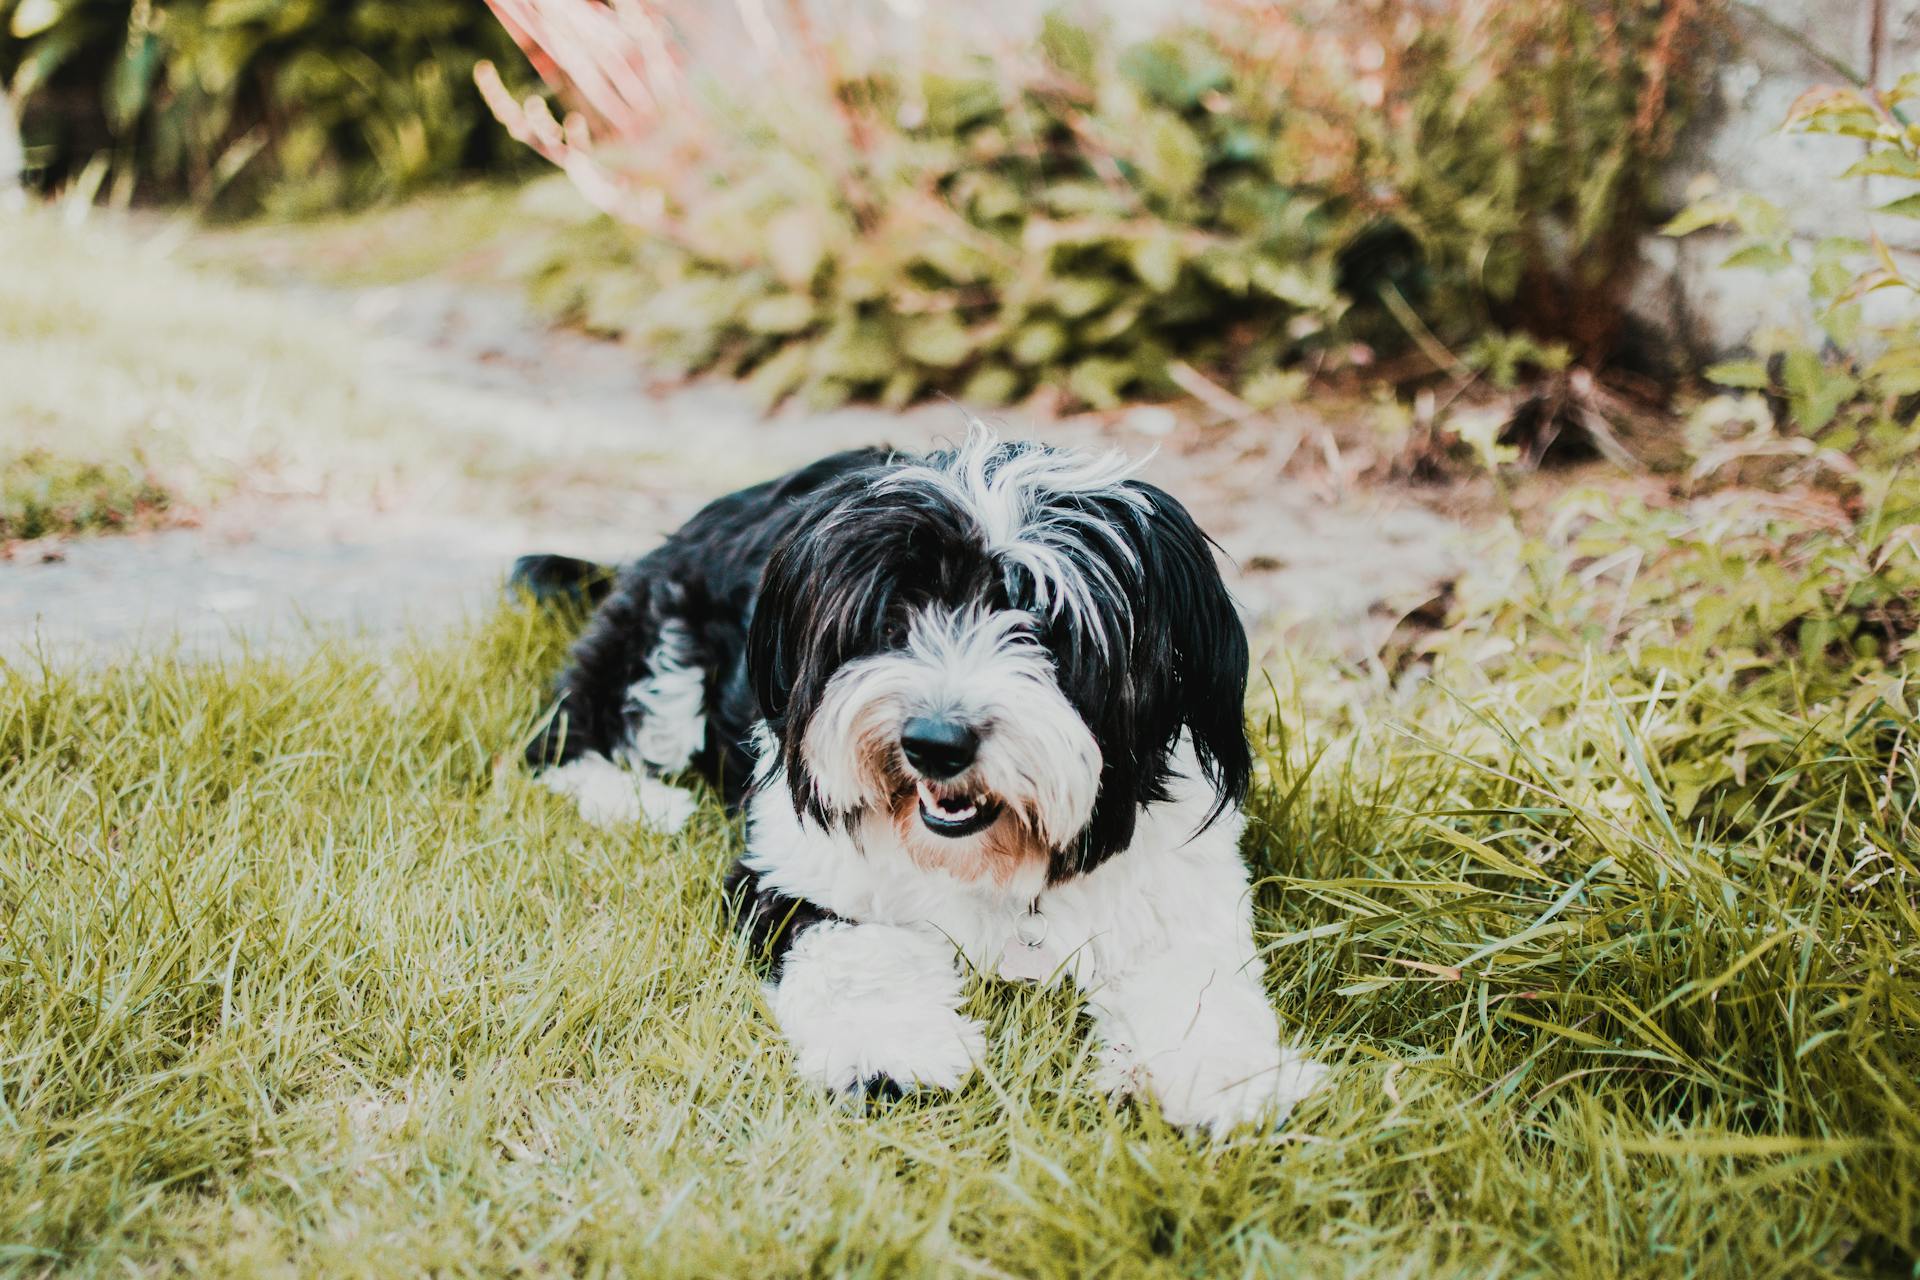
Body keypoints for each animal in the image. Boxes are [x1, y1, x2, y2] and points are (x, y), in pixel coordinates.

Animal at [526, 422, 1336, 1128]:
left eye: (1046, 625)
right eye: (896, 613)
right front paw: (893, 1047)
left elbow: (1199, 983)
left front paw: (1224, 1076)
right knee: (563, 736)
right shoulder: (794, 871)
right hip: (663, 645)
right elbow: (851, 950)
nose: (935, 743)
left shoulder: (1180, 894)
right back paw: (636, 800)